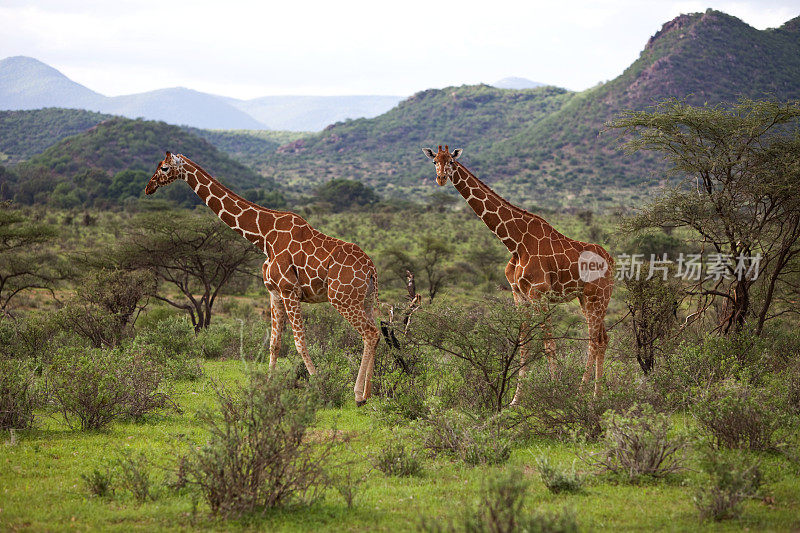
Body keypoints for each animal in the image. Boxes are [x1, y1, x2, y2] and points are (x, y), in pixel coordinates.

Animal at [145, 151, 382, 404]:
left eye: (164, 168)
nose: (149, 187)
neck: (263, 236)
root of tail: (371, 269)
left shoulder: (290, 291)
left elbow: (300, 342)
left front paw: (319, 386)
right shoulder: (274, 293)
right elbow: (274, 343)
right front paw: (269, 387)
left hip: (342, 299)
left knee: (369, 333)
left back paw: (358, 395)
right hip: (364, 300)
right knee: (375, 333)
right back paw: (368, 392)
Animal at [422, 145, 616, 400]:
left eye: (451, 162)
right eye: (434, 161)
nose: (441, 178)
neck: (514, 243)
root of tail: (611, 261)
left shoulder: (539, 294)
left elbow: (548, 344)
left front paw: (556, 391)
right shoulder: (519, 295)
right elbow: (523, 344)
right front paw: (516, 398)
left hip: (598, 296)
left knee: (594, 340)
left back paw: (583, 394)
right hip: (586, 298)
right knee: (602, 338)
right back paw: (596, 395)